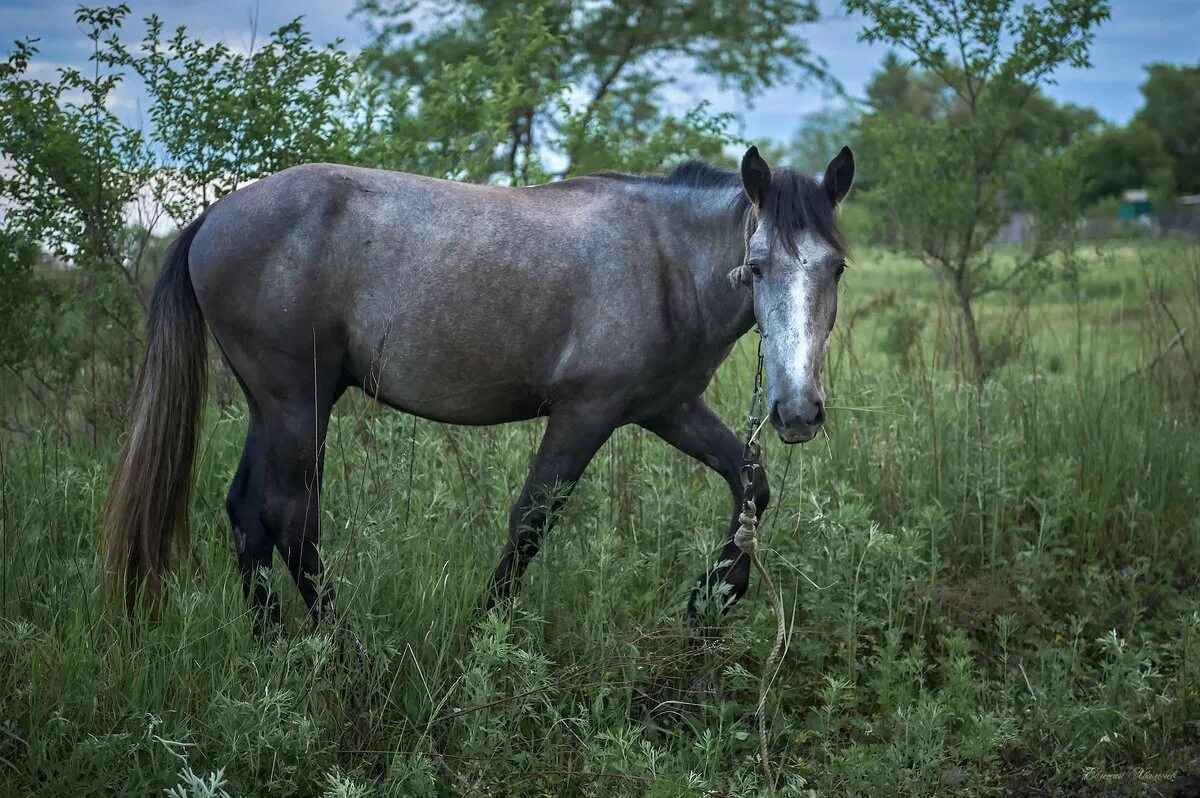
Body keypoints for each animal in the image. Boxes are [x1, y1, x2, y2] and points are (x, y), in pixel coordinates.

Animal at [101, 144, 854, 627]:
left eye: (837, 267)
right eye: (756, 265)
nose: (797, 411)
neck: (664, 259)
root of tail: (214, 217)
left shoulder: (667, 407)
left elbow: (751, 481)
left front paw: (715, 597)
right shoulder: (585, 413)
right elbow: (529, 523)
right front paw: (480, 633)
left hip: (274, 405)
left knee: (248, 515)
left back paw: (275, 646)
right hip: (298, 403)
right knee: (288, 515)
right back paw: (341, 650)